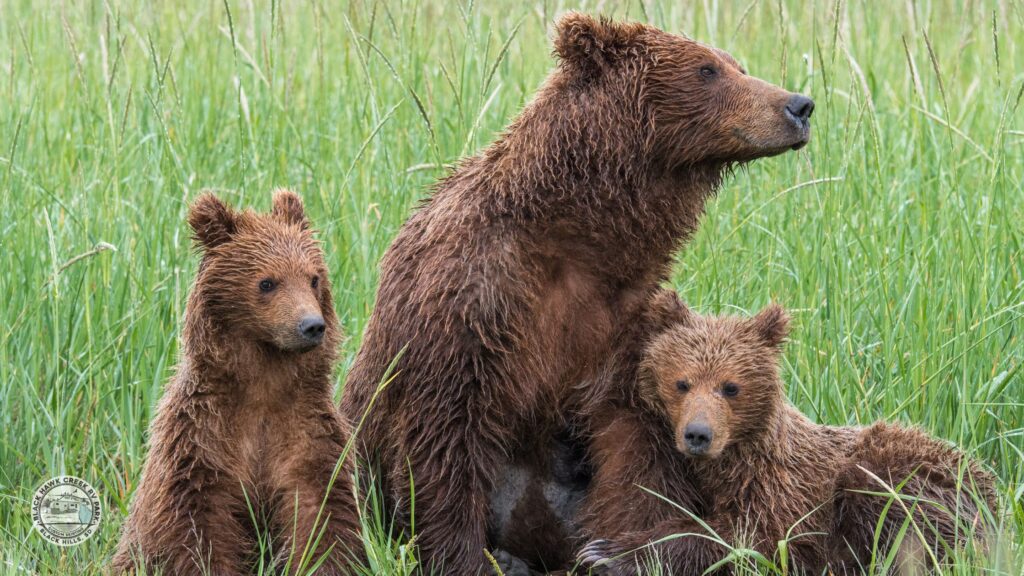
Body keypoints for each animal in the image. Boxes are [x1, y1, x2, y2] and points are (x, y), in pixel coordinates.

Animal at [111, 191, 363, 575]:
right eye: (267, 282)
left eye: (313, 278)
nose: (311, 326)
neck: (263, 383)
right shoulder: (202, 439)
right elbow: (199, 524)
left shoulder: (306, 431)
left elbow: (320, 511)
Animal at [341, 12, 814, 574]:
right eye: (707, 69)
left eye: (737, 64)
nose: (799, 105)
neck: (577, 237)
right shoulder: (470, 301)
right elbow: (443, 437)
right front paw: (465, 555)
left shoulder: (621, 321)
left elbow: (633, 447)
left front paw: (618, 550)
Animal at [577, 297, 998, 575]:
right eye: (682, 382)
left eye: (730, 386)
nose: (698, 434)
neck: (728, 463)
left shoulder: (784, 487)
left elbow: (753, 537)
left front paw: (610, 553)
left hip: (910, 475)